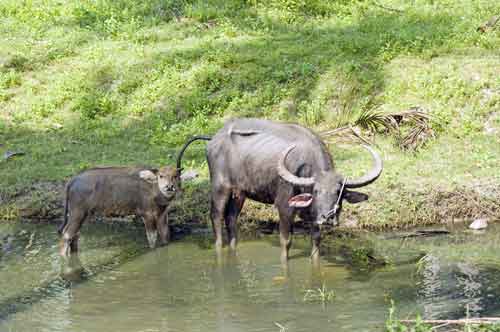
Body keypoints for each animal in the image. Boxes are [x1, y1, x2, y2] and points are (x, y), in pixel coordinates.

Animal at [58, 166, 189, 256]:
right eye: (161, 176)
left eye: (175, 176)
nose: (169, 187)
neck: (154, 191)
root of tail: (72, 180)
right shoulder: (147, 214)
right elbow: (152, 238)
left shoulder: (162, 215)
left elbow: (165, 235)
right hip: (78, 212)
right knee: (66, 234)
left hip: (83, 214)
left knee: (75, 235)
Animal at [177, 118, 382, 262]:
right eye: (316, 191)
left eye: (338, 192)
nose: (328, 217)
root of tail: (214, 139)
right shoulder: (284, 207)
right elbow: (286, 242)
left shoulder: (313, 216)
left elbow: (316, 241)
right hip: (220, 187)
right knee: (216, 216)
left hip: (240, 193)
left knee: (231, 218)